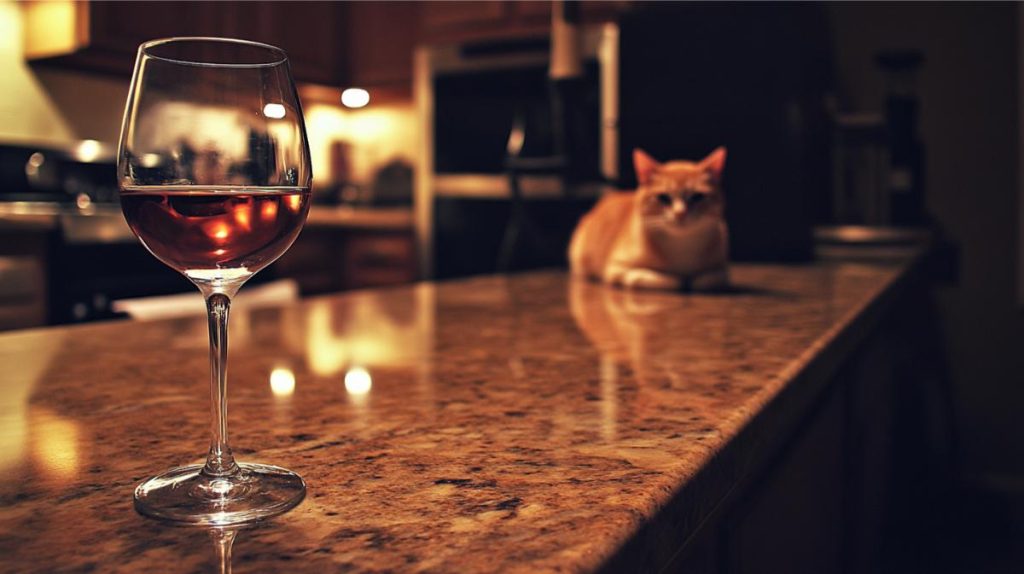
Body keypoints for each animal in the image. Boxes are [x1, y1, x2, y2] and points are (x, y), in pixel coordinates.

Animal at [569, 147, 729, 290]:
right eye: (663, 198)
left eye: (697, 197)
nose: (680, 213)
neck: (682, 246)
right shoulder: (617, 269)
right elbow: (664, 279)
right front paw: (678, 279)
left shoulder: (721, 268)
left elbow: (709, 278)